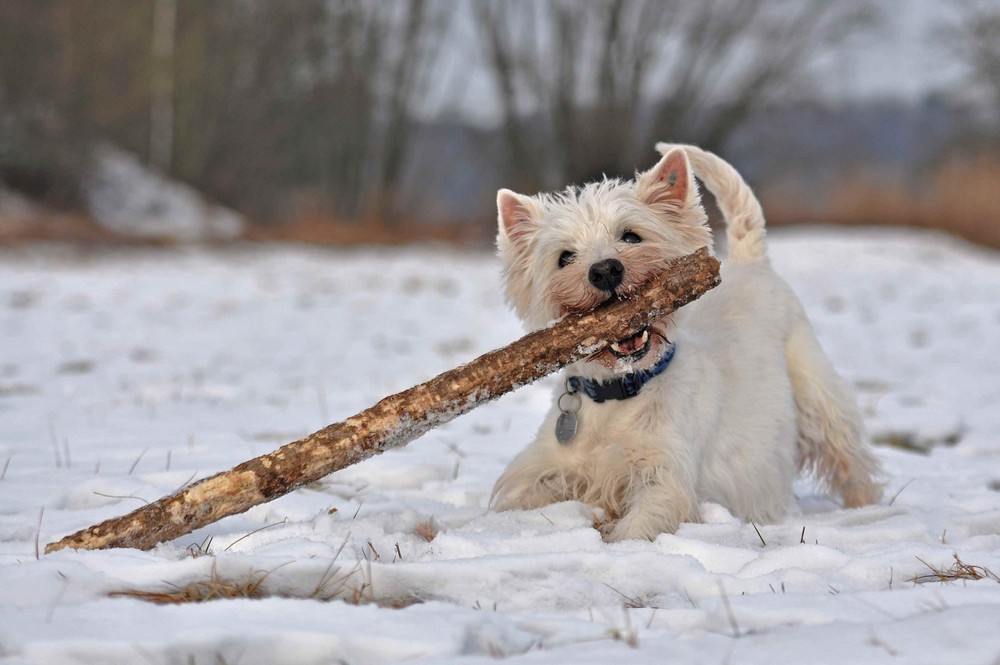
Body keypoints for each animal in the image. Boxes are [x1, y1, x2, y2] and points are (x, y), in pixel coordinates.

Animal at [492, 141, 884, 540]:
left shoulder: (667, 475)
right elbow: (521, 496)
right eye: (564, 257)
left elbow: (643, 522)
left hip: (816, 392)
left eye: (631, 236)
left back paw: (865, 507)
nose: (605, 271)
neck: (619, 394)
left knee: (849, 456)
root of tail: (752, 263)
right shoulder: (545, 467)